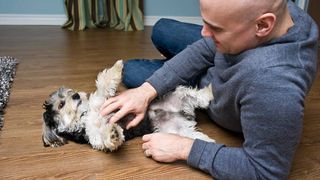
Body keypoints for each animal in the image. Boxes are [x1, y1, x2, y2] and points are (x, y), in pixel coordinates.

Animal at [41, 60, 214, 152]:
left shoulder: (104, 100)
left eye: (70, 92)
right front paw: (113, 134)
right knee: (194, 132)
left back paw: (209, 91)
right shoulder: (94, 137)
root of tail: (183, 113)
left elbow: (104, 83)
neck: (85, 114)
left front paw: (117, 67)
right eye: (61, 104)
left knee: (197, 96)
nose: (76, 95)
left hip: (177, 95)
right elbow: (103, 138)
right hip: (176, 130)